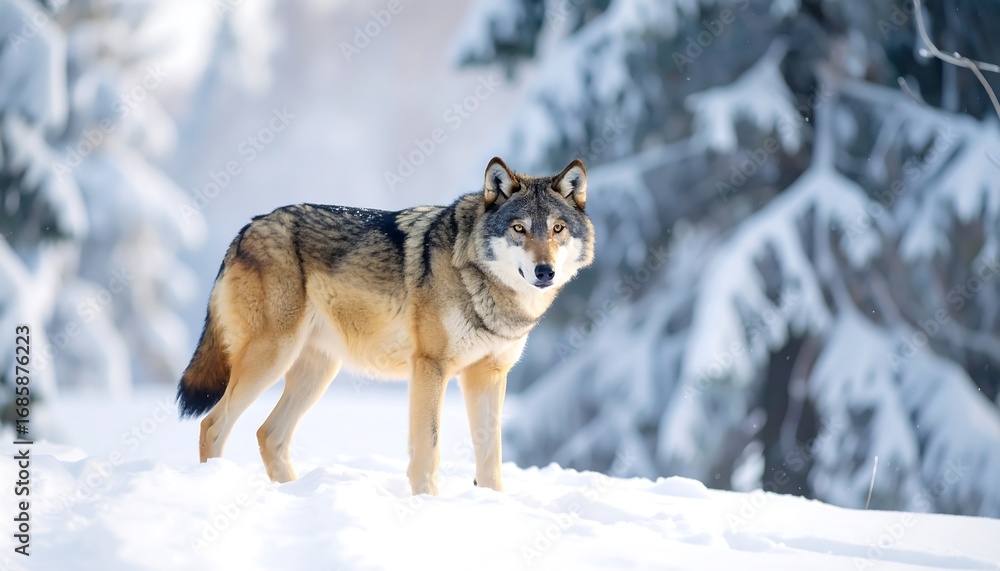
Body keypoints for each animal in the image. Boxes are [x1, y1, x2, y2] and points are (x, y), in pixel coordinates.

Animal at [176, 157, 594, 495]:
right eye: (519, 229)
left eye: (557, 229)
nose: (545, 271)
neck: (480, 282)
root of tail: (247, 228)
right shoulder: (430, 368)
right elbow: (428, 450)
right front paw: (426, 504)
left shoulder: (488, 375)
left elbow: (491, 457)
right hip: (271, 357)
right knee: (212, 425)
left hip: (317, 372)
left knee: (269, 435)